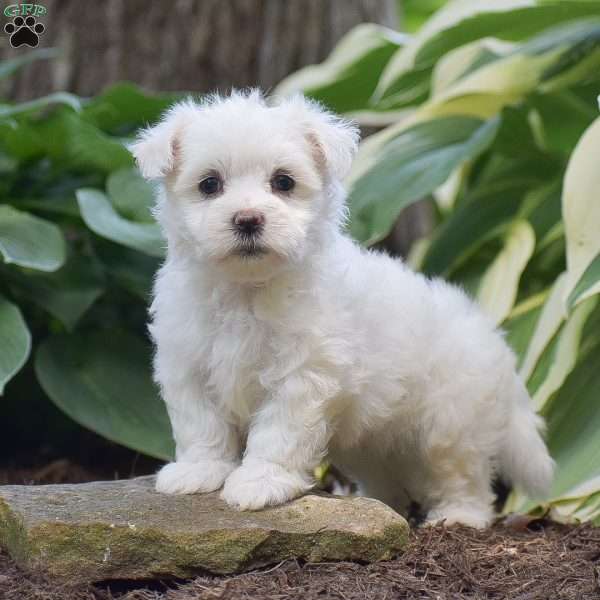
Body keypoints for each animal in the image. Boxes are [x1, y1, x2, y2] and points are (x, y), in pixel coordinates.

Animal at [131, 89, 552, 524]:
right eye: (209, 184)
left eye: (283, 182)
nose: (247, 219)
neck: (247, 288)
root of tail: (496, 342)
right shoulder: (188, 364)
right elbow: (201, 424)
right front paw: (199, 470)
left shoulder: (303, 374)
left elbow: (279, 434)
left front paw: (260, 482)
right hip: (374, 437)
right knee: (387, 474)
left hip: (452, 419)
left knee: (463, 474)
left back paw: (459, 515)